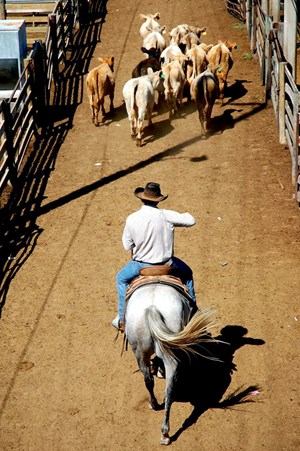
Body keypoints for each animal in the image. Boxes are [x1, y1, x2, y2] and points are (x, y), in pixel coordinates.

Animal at [125, 284, 218, 446]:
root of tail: (152, 308)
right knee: (165, 388)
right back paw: (165, 431)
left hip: (141, 354)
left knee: (153, 383)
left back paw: (160, 420)